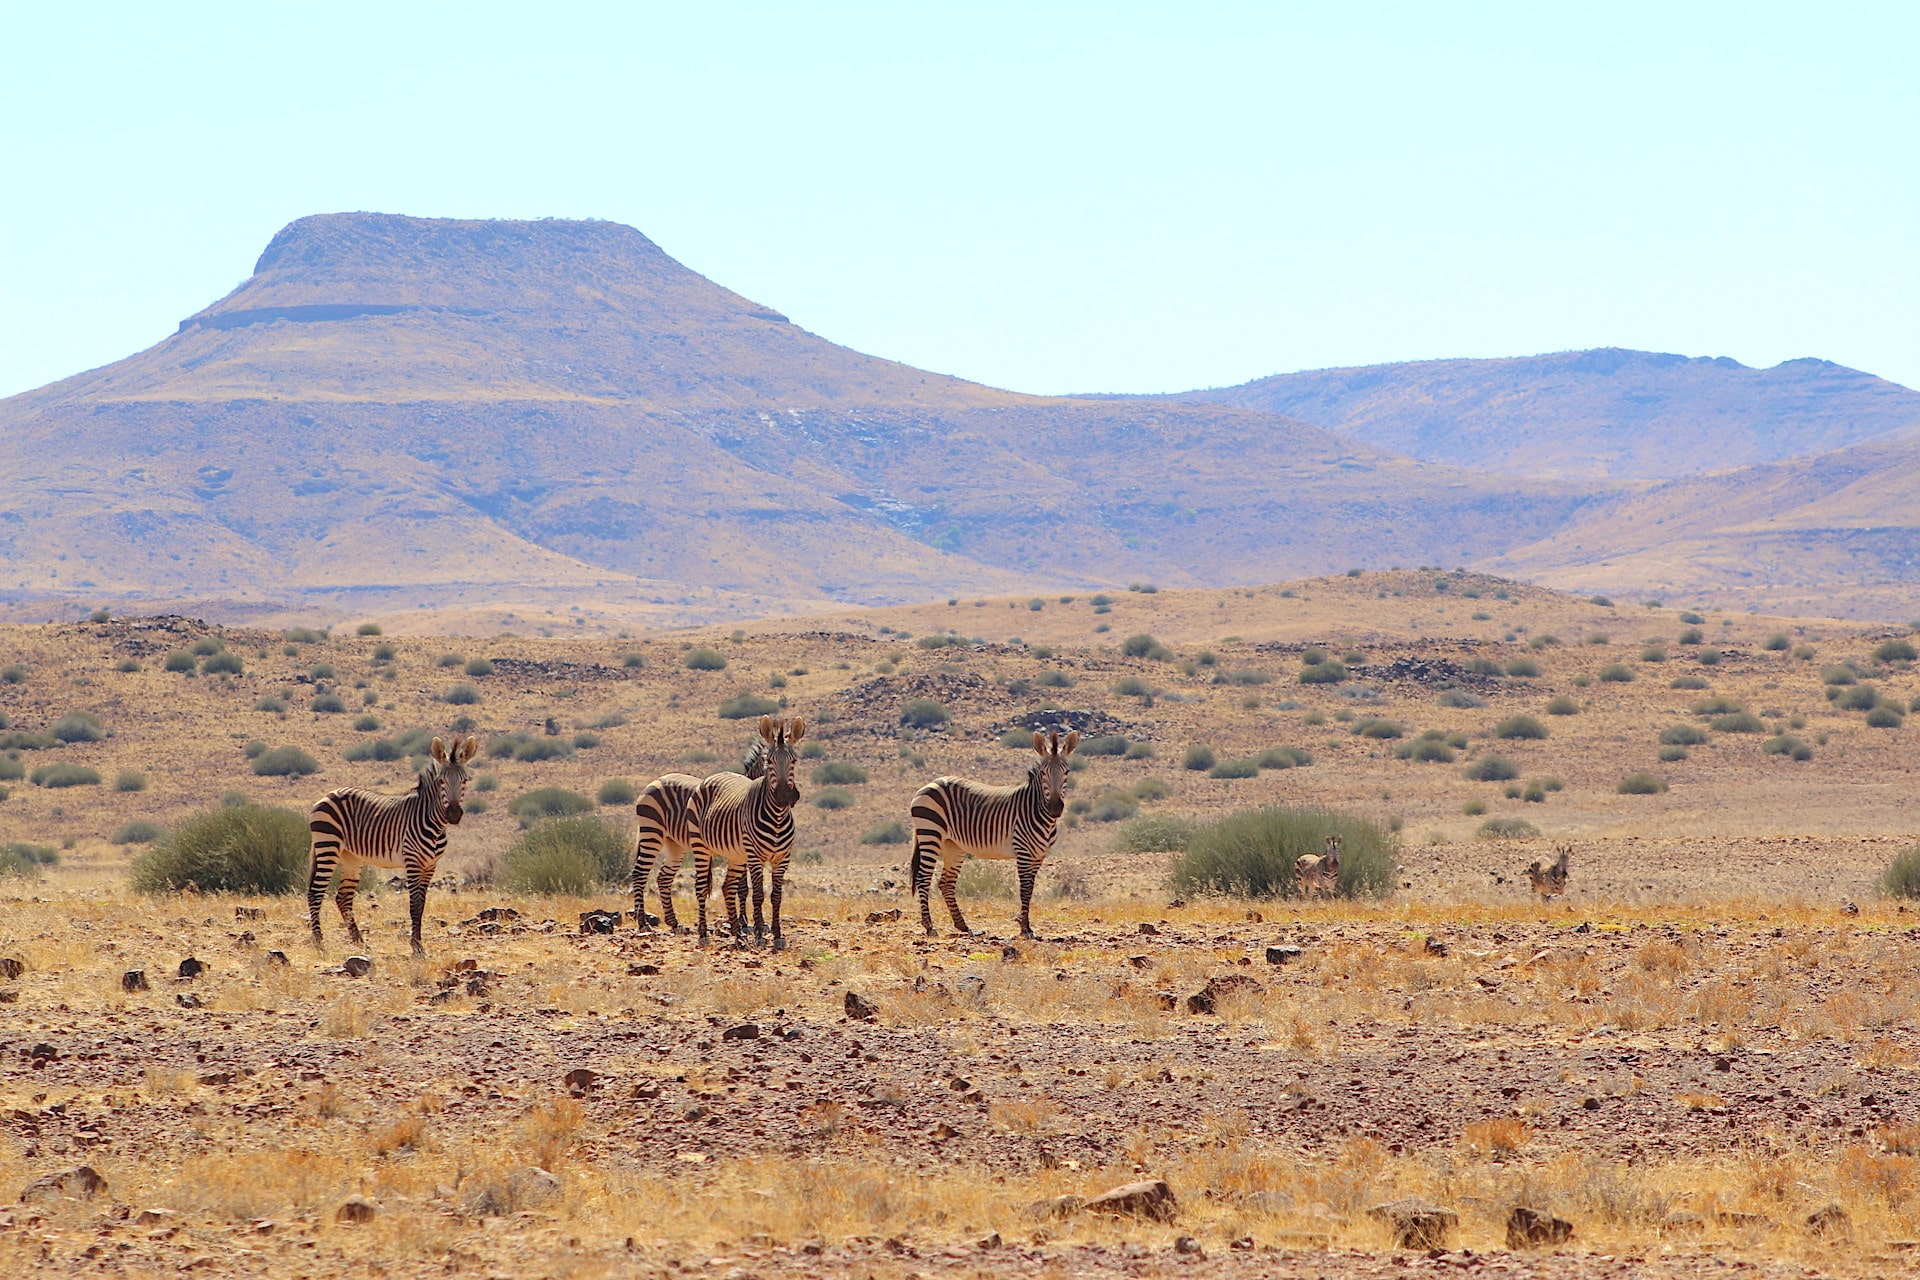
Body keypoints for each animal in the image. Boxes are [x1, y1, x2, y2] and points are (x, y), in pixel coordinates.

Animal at [307, 729, 476, 951]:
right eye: (441, 782)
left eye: (465, 781)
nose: (454, 815)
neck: (433, 823)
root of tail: (329, 794)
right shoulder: (413, 862)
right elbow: (415, 904)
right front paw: (416, 946)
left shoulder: (430, 865)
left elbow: (422, 903)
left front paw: (418, 942)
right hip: (328, 846)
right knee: (315, 892)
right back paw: (319, 942)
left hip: (351, 857)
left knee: (343, 897)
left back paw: (359, 941)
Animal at [691, 717, 802, 948]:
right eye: (769, 761)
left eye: (794, 761)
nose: (784, 797)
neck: (777, 818)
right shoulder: (755, 857)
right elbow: (757, 894)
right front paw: (759, 932)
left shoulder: (782, 859)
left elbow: (776, 896)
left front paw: (777, 934)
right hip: (701, 847)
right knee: (701, 887)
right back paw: (704, 933)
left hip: (735, 855)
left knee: (727, 887)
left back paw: (737, 933)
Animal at [910, 729, 1082, 940]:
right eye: (1043, 773)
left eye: (1067, 772)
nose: (1055, 808)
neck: (1036, 810)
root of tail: (932, 782)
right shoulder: (1023, 852)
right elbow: (1025, 889)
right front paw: (1025, 928)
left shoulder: (1038, 856)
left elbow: (1030, 889)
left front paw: (1026, 926)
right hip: (930, 834)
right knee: (923, 878)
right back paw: (929, 926)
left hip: (952, 845)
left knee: (946, 883)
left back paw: (963, 926)